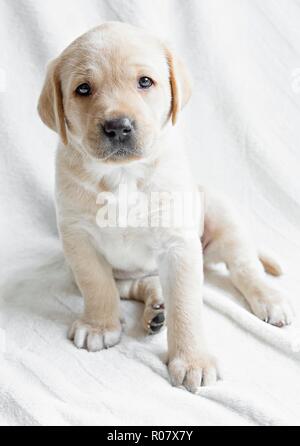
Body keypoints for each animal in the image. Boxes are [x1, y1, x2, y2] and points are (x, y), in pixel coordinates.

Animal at [37, 22, 292, 392]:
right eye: (83, 89)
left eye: (145, 82)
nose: (118, 127)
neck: (123, 176)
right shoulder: (77, 238)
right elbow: (96, 285)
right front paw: (100, 325)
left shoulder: (178, 243)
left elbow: (185, 305)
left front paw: (192, 359)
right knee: (136, 284)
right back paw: (155, 308)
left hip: (221, 217)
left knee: (245, 267)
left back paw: (268, 299)